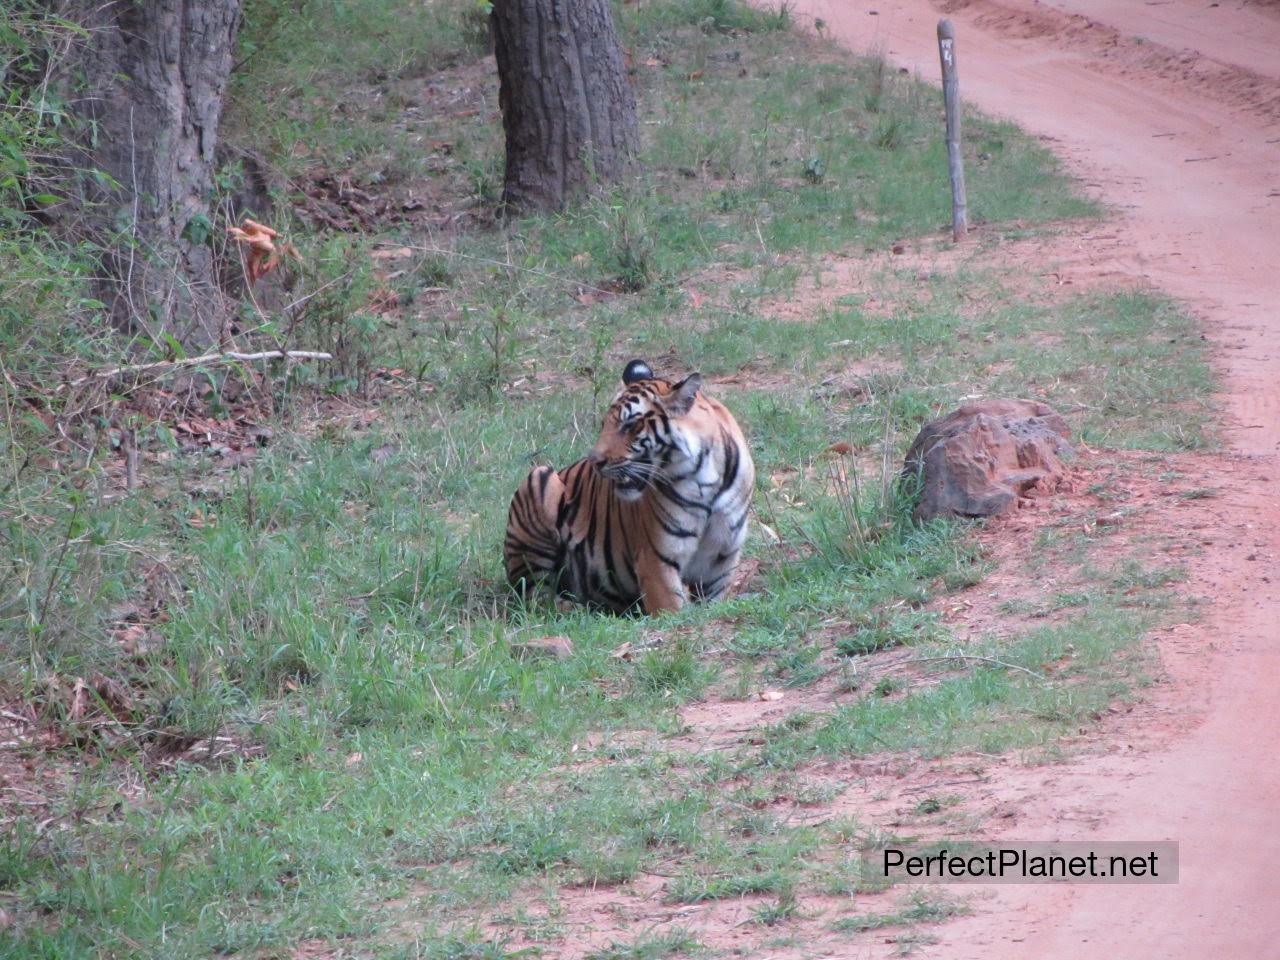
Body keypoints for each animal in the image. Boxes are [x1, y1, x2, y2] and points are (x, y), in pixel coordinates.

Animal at [504, 360, 752, 616]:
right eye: (604, 424)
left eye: (630, 425)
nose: (594, 461)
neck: (704, 480)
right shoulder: (655, 561)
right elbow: (673, 612)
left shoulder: (720, 563)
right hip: (540, 479)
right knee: (535, 595)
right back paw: (576, 609)